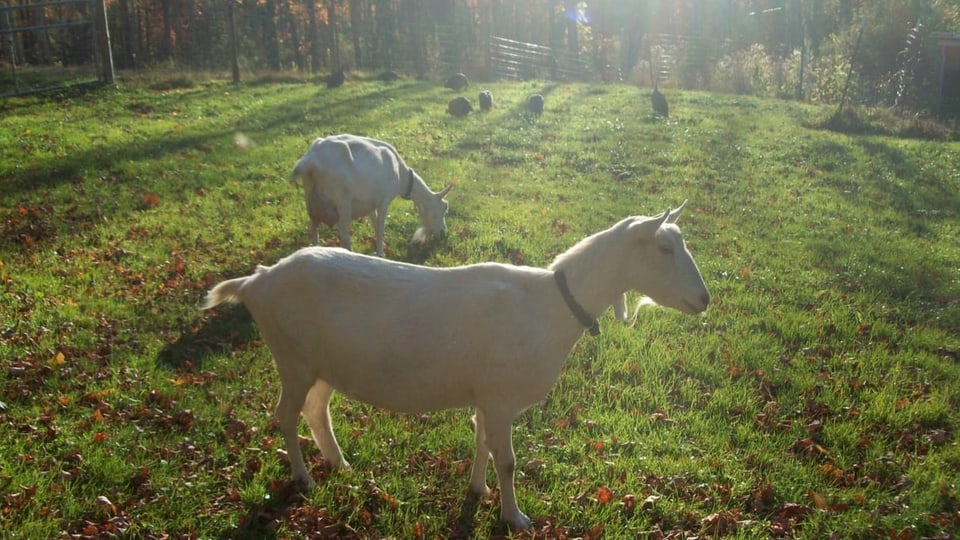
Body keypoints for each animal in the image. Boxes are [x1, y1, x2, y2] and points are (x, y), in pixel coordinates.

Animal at [204, 201, 712, 528]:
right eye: (664, 249)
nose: (705, 299)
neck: (549, 306)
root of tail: (256, 281)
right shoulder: (501, 398)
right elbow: (507, 458)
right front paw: (515, 517)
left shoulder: (485, 396)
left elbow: (482, 442)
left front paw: (478, 491)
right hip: (291, 357)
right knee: (285, 416)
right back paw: (305, 477)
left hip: (323, 365)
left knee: (315, 411)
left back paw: (340, 464)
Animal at [288, 132, 454, 256]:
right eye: (444, 208)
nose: (443, 233)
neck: (402, 176)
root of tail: (309, 162)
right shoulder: (384, 199)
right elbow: (380, 228)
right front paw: (381, 254)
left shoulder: (370, 203)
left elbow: (374, 224)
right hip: (342, 198)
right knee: (344, 232)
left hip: (310, 197)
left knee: (313, 228)